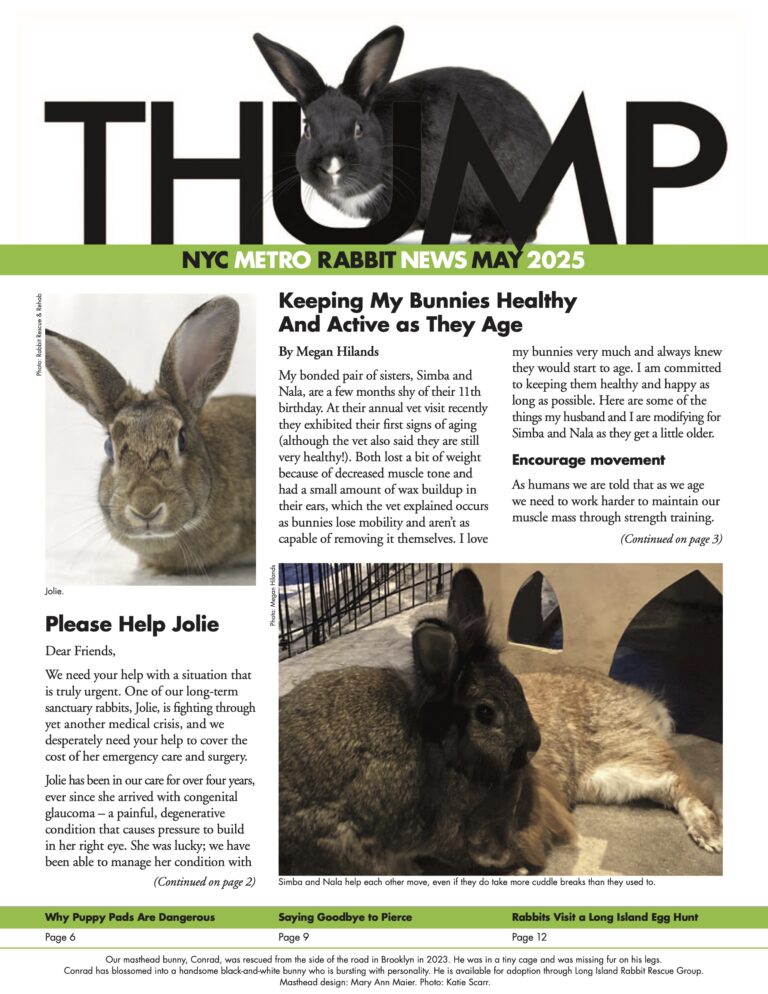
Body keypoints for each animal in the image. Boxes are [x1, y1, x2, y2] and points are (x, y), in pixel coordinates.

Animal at [279, 568, 722, 875]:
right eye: (486, 713)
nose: (534, 745)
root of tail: (639, 701)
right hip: (607, 779)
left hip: (623, 758)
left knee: (683, 783)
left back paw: (710, 836)